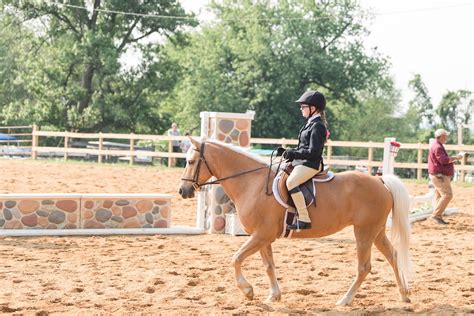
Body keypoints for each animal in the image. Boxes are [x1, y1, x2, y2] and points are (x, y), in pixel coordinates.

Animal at [178, 139, 412, 306]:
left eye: (190, 162)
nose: (183, 191)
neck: (252, 183)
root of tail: (380, 180)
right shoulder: (262, 237)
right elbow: (268, 265)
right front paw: (274, 296)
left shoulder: (261, 235)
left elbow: (236, 258)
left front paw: (248, 290)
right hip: (376, 232)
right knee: (393, 256)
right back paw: (404, 295)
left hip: (364, 232)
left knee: (364, 267)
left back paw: (345, 300)